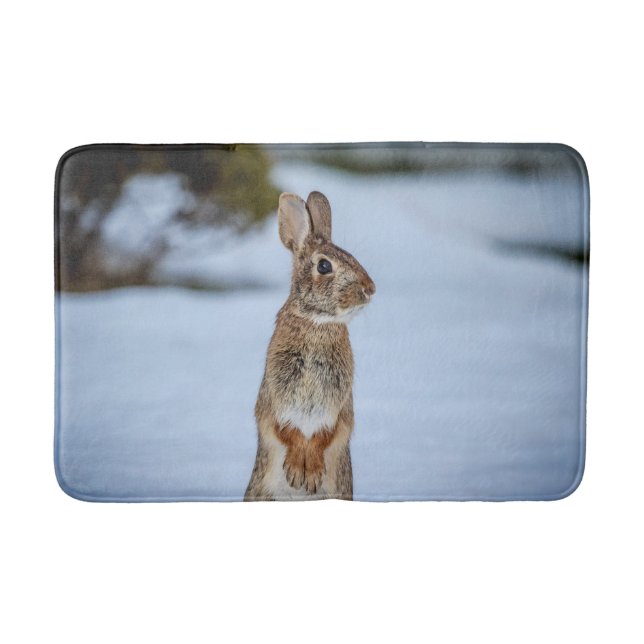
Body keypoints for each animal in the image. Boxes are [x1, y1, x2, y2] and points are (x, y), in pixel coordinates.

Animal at [244, 191, 375, 501]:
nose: (370, 289)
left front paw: (310, 473)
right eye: (324, 266)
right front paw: (296, 472)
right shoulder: (273, 398)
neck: (317, 323)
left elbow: (326, 435)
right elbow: (285, 431)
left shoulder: (340, 407)